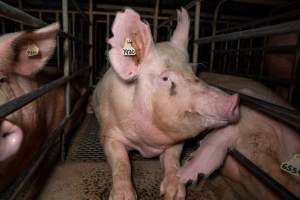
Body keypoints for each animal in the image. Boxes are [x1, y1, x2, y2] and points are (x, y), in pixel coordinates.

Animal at [92, 8, 240, 200]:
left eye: (194, 72)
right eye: (165, 78)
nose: (234, 99)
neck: (146, 146)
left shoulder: (176, 142)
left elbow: (172, 159)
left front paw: (174, 193)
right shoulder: (109, 134)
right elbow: (121, 161)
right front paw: (123, 196)